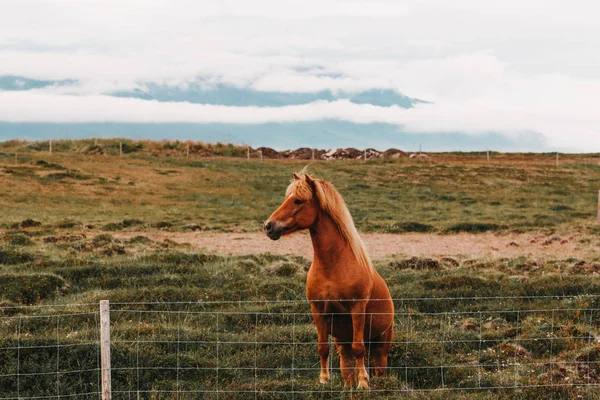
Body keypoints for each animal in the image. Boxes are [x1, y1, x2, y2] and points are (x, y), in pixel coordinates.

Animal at [264, 173, 396, 390]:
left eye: (298, 201)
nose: (268, 226)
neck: (333, 266)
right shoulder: (318, 310)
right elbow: (322, 347)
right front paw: (323, 380)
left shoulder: (357, 308)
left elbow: (359, 348)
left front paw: (363, 383)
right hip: (342, 340)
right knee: (346, 364)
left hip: (380, 347)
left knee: (375, 364)